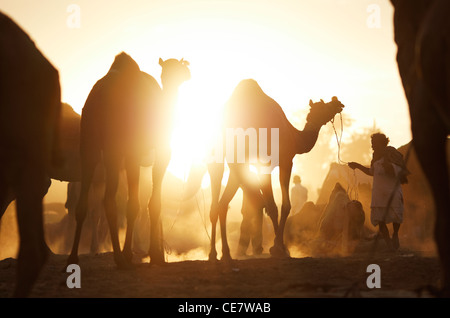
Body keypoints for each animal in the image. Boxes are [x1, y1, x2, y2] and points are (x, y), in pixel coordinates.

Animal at [66, 53, 189, 268]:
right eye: (178, 67)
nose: (188, 72)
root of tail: (99, 96)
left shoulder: (136, 157)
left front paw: (140, 252)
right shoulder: (158, 151)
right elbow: (150, 203)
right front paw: (153, 255)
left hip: (88, 144)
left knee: (84, 203)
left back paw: (73, 257)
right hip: (115, 147)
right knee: (112, 200)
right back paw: (119, 258)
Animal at [207, 80, 344, 260]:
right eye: (325, 106)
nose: (338, 102)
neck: (295, 138)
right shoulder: (284, 161)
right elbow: (282, 205)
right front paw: (279, 248)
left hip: (223, 159)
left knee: (218, 204)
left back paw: (219, 253)